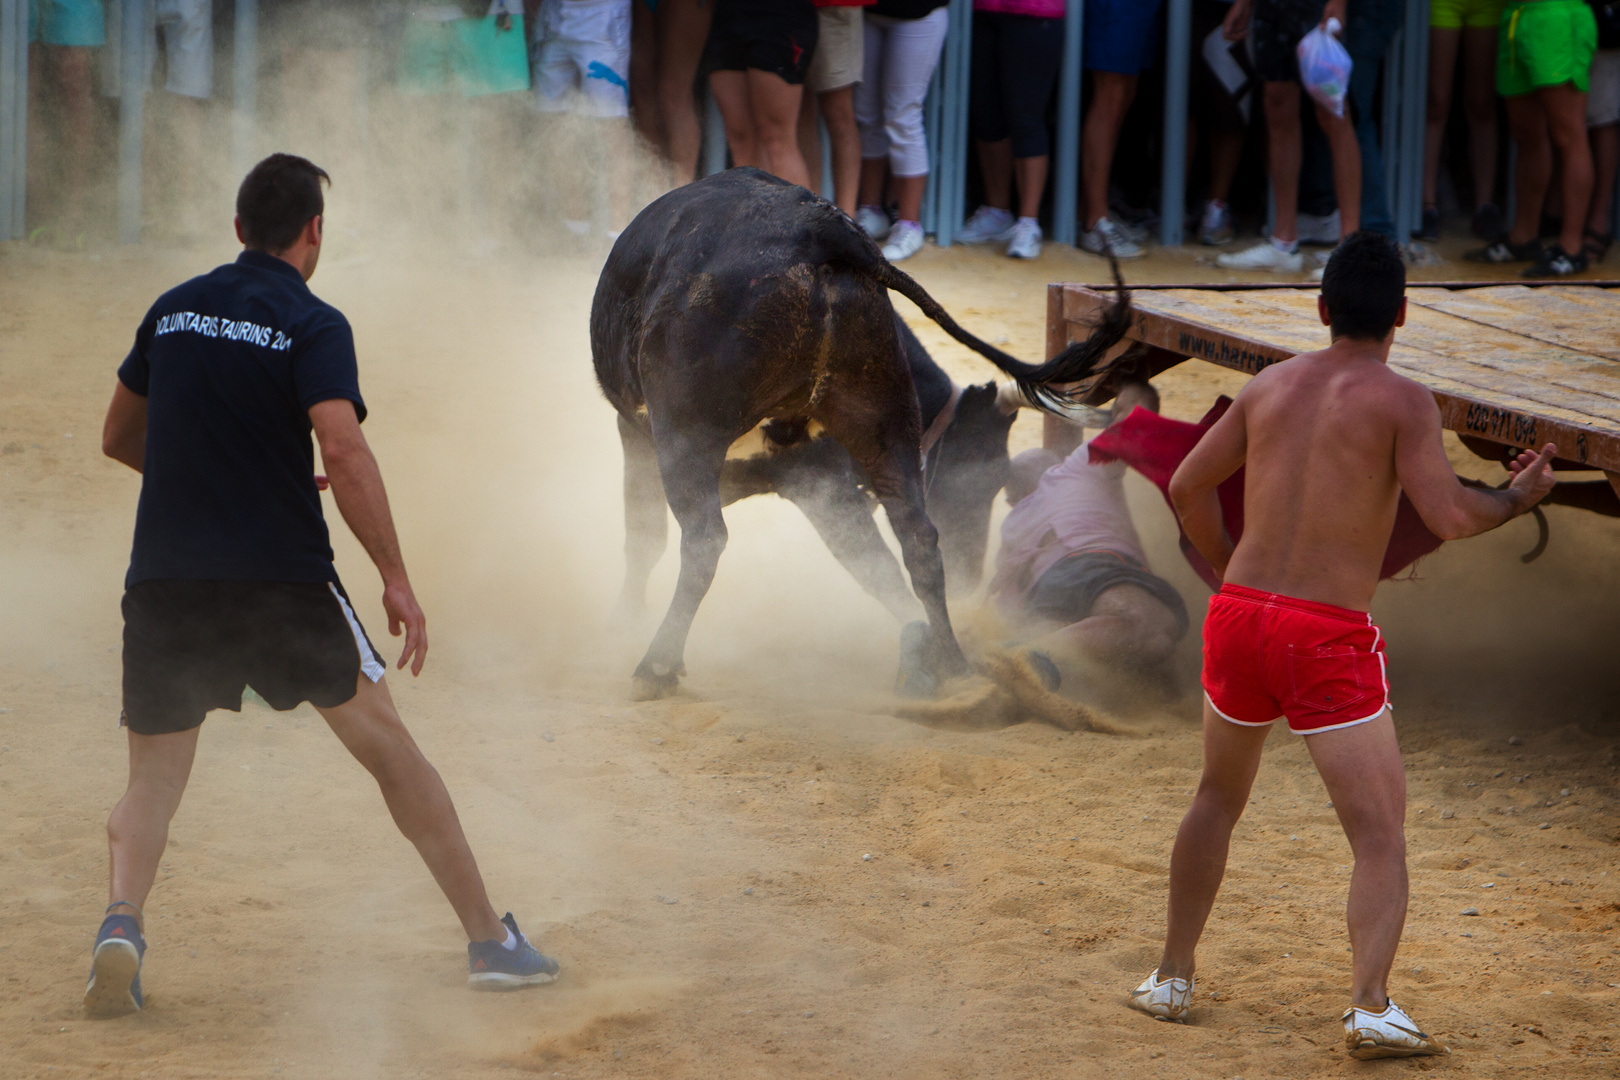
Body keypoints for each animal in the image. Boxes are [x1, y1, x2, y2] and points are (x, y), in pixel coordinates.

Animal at [589, 165, 1134, 696]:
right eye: (985, 479)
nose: (971, 573)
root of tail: (819, 227)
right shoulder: (819, 478)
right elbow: (873, 567)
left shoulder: (639, 434)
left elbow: (643, 535)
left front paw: (622, 621)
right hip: (881, 420)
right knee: (916, 541)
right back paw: (953, 666)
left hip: (686, 434)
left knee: (703, 540)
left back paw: (656, 665)